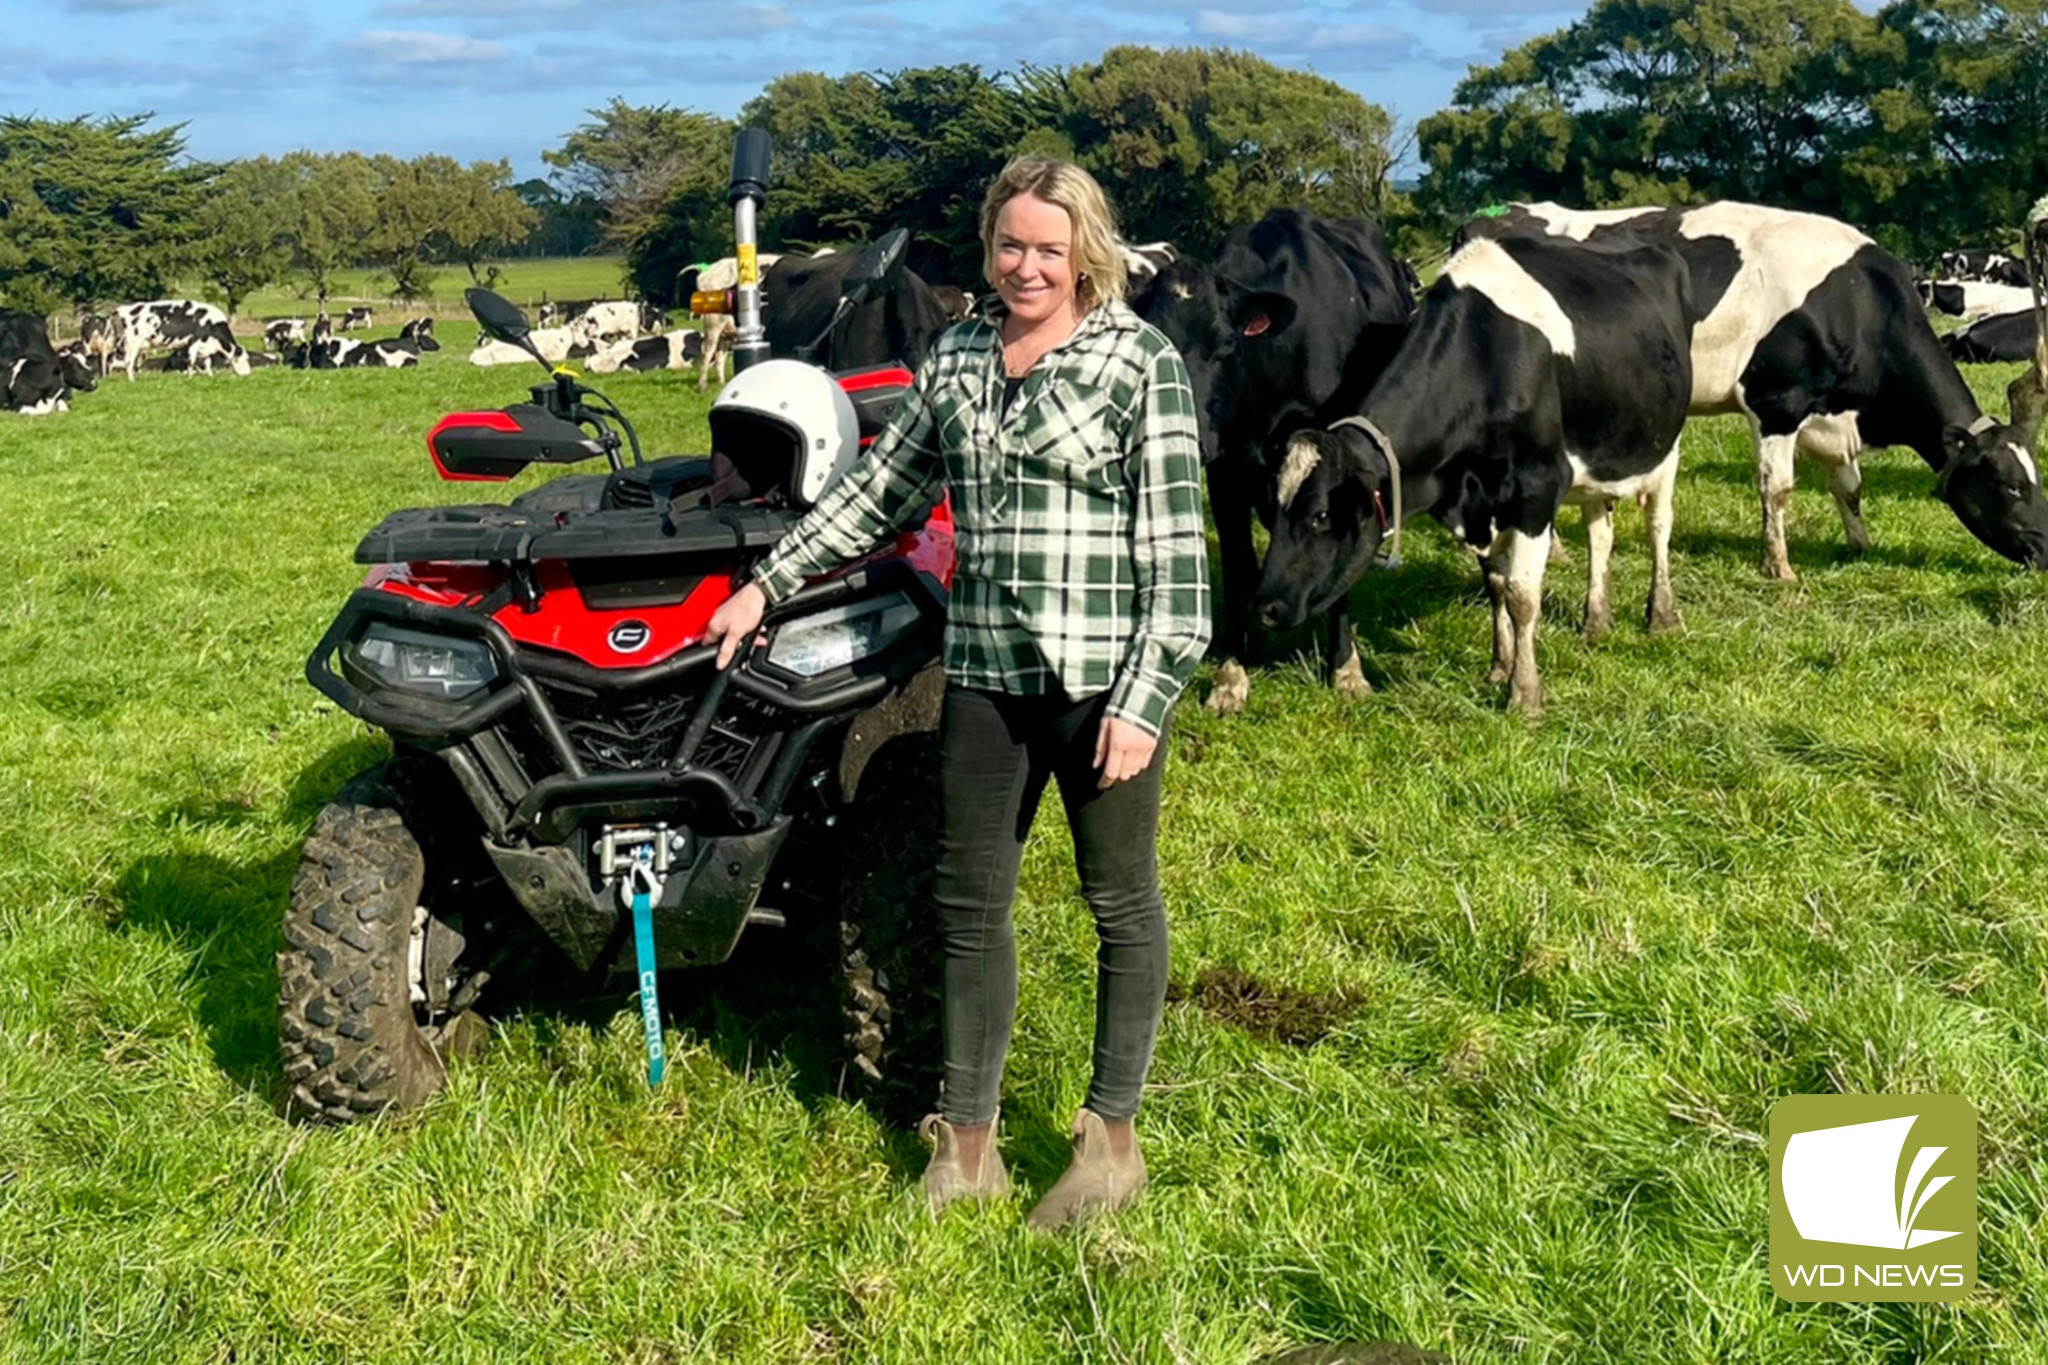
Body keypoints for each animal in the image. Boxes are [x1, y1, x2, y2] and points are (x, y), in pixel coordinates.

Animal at [111, 300, 252, 378]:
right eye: (242, 359)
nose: (247, 374)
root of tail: (124, 309)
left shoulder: (205, 346)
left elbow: (207, 363)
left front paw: (210, 376)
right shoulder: (194, 343)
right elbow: (192, 362)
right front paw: (190, 377)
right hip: (133, 343)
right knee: (128, 362)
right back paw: (132, 380)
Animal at [1130, 206, 1417, 716]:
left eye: (1227, 344)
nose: (1188, 435)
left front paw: (1346, 669)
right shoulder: (1225, 475)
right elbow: (1240, 570)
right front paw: (1233, 672)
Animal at [1253, 231, 1687, 716]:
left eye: (1321, 516)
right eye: (1271, 511)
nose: (1266, 608)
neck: (1484, 355)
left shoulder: (1538, 486)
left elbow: (1521, 595)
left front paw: (1524, 693)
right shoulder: (1478, 500)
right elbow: (1496, 585)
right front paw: (1500, 666)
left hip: (1667, 446)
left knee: (1658, 526)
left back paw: (1660, 615)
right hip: (1596, 459)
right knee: (1600, 534)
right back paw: (1596, 620)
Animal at [1458, 206, 2048, 577]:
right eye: (2011, 486)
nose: (2045, 548)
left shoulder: (1829, 416)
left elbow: (1849, 486)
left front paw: (1859, 544)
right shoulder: (1777, 403)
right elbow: (1777, 489)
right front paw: (1779, 567)